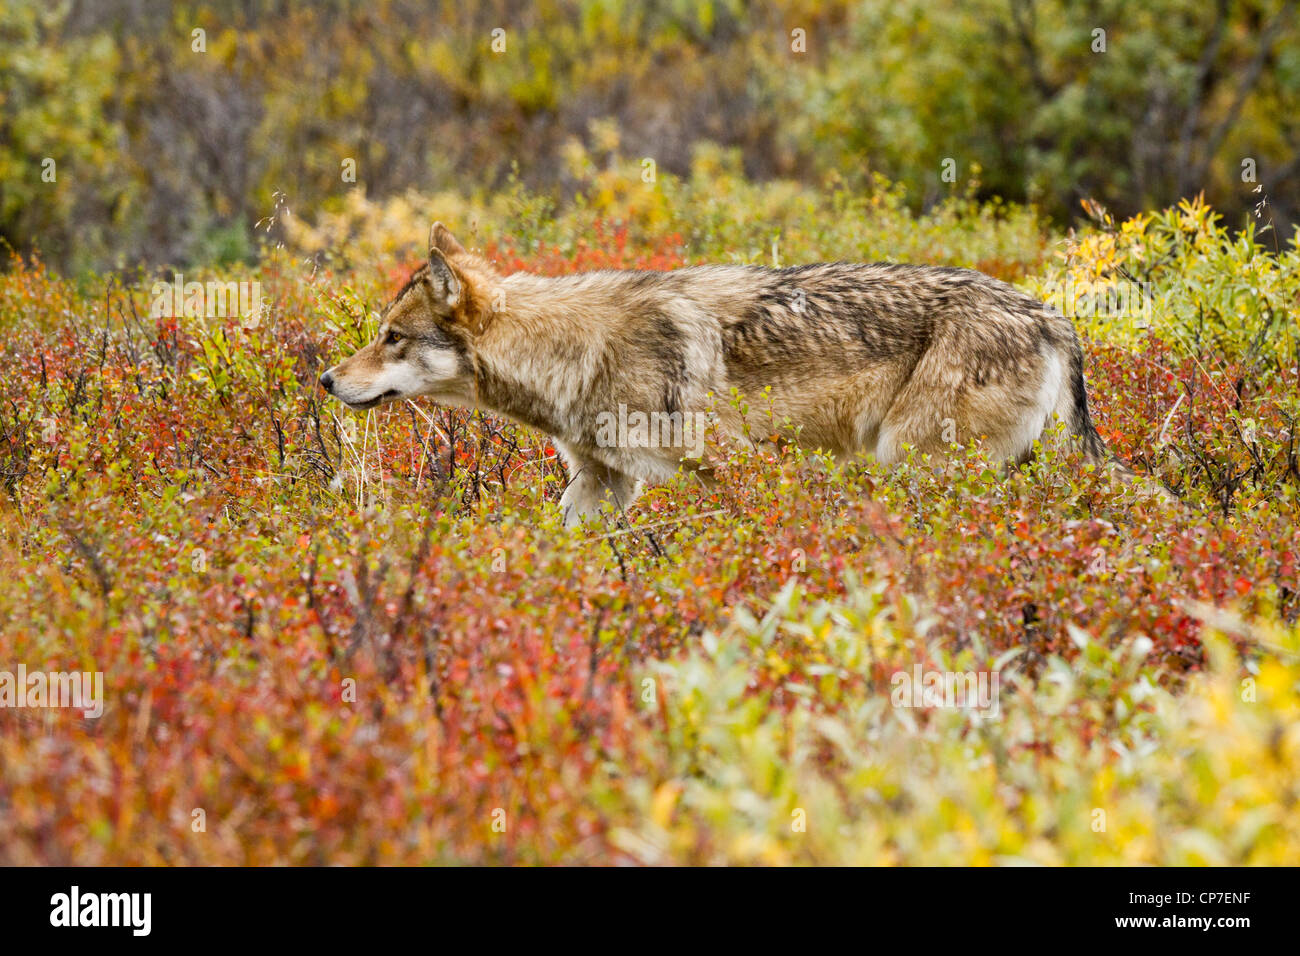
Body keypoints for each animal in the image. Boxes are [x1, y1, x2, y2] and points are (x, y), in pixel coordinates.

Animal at [322, 223, 1128, 528]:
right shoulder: (600, 481)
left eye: (392, 338)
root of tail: (1055, 317)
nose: (327, 381)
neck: (571, 354)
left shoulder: (732, 468)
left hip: (912, 464)